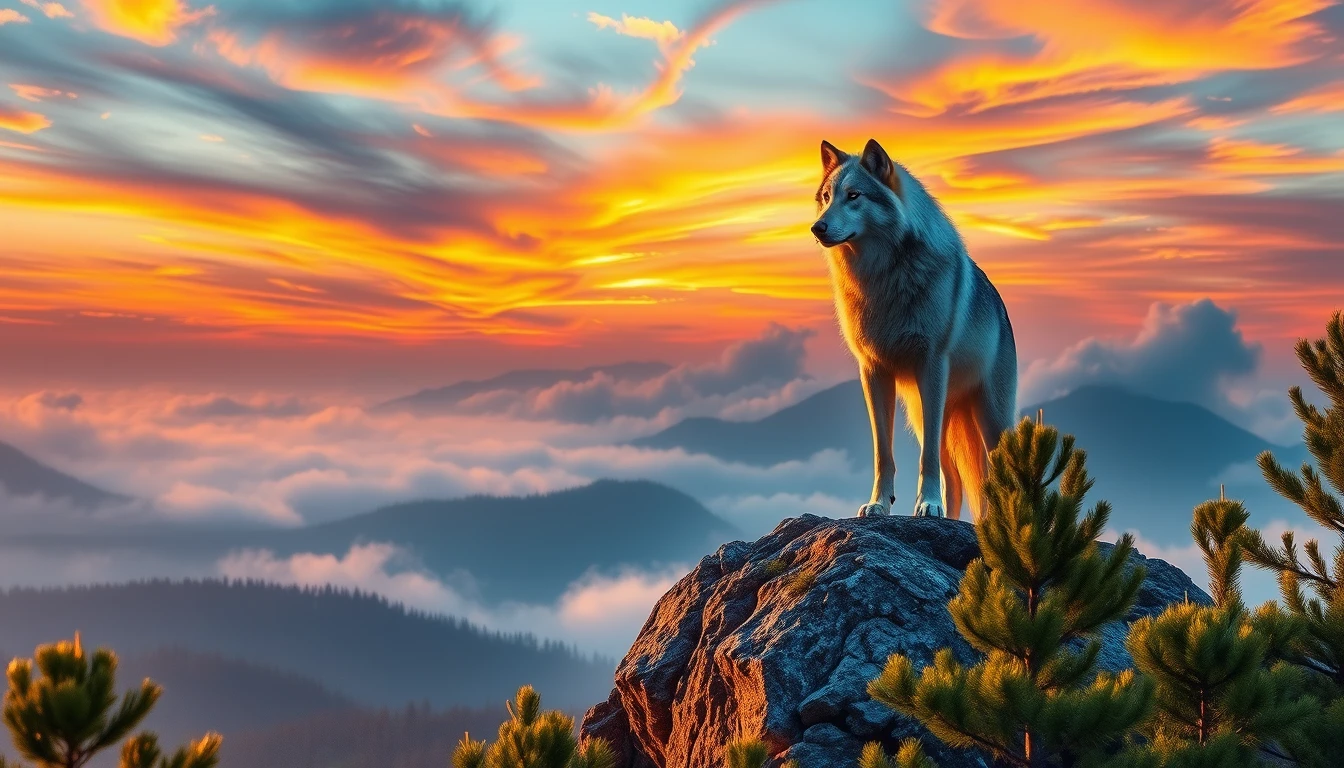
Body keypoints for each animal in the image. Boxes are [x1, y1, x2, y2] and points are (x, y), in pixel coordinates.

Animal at [811, 138, 1017, 521]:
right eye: (827, 196)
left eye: (854, 195)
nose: (817, 228)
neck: (882, 279)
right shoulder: (873, 372)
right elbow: (883, 454)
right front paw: (878, 504)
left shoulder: (932, 365)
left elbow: (927, 460)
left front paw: (928, 505)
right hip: (929, 420)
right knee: (956, 481)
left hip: (990, 423)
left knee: (993, 479)